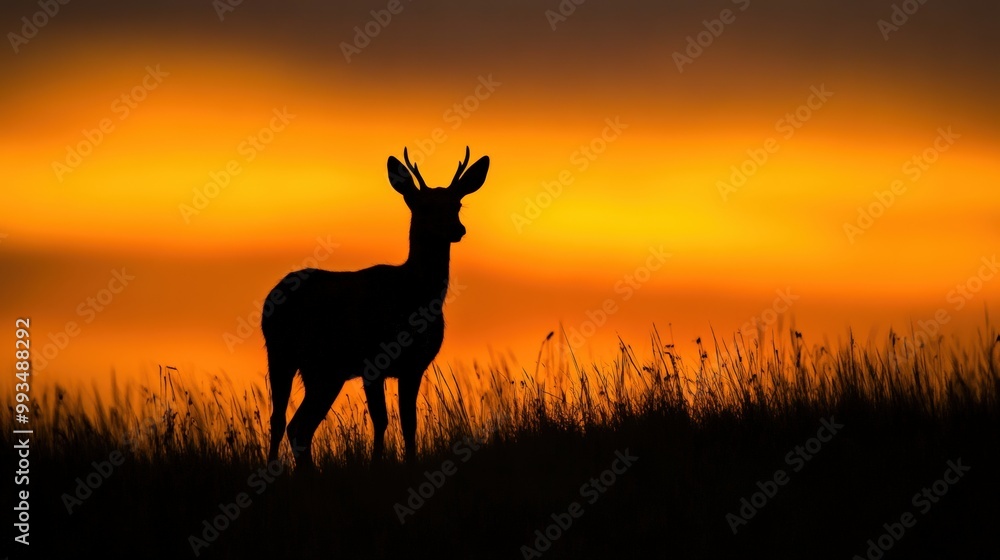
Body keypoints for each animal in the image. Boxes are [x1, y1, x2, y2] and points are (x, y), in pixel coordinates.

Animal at [262, 147, 490, 470]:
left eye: (457, 203)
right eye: (423, 206)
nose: (457, 229)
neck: (413, 296)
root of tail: (271, 299)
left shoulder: (414, 366)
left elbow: (409, 422)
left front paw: (409, 463)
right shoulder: (374, 361)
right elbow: (381, 420)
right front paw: (376, 464)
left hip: (318, 369)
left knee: (293, 423)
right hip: (289, 356)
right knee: (286, 421)